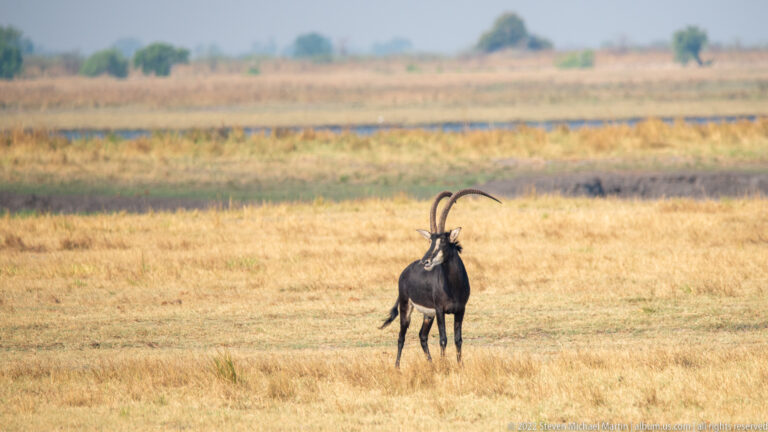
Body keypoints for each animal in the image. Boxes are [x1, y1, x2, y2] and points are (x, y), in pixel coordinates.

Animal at [380, 189, 501, 367]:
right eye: (430, 240)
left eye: (443, 240)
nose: (425, 261)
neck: (454, 286)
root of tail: (404, 272)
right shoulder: (440, 310)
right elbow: (443, 339)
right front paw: (444, 365)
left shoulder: (460, 310)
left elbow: (458, 339)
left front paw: (460, 365)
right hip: (406, 307)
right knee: (401, 337)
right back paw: (397, 367)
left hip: (428, 315)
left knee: (422, 336)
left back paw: (430, 363)